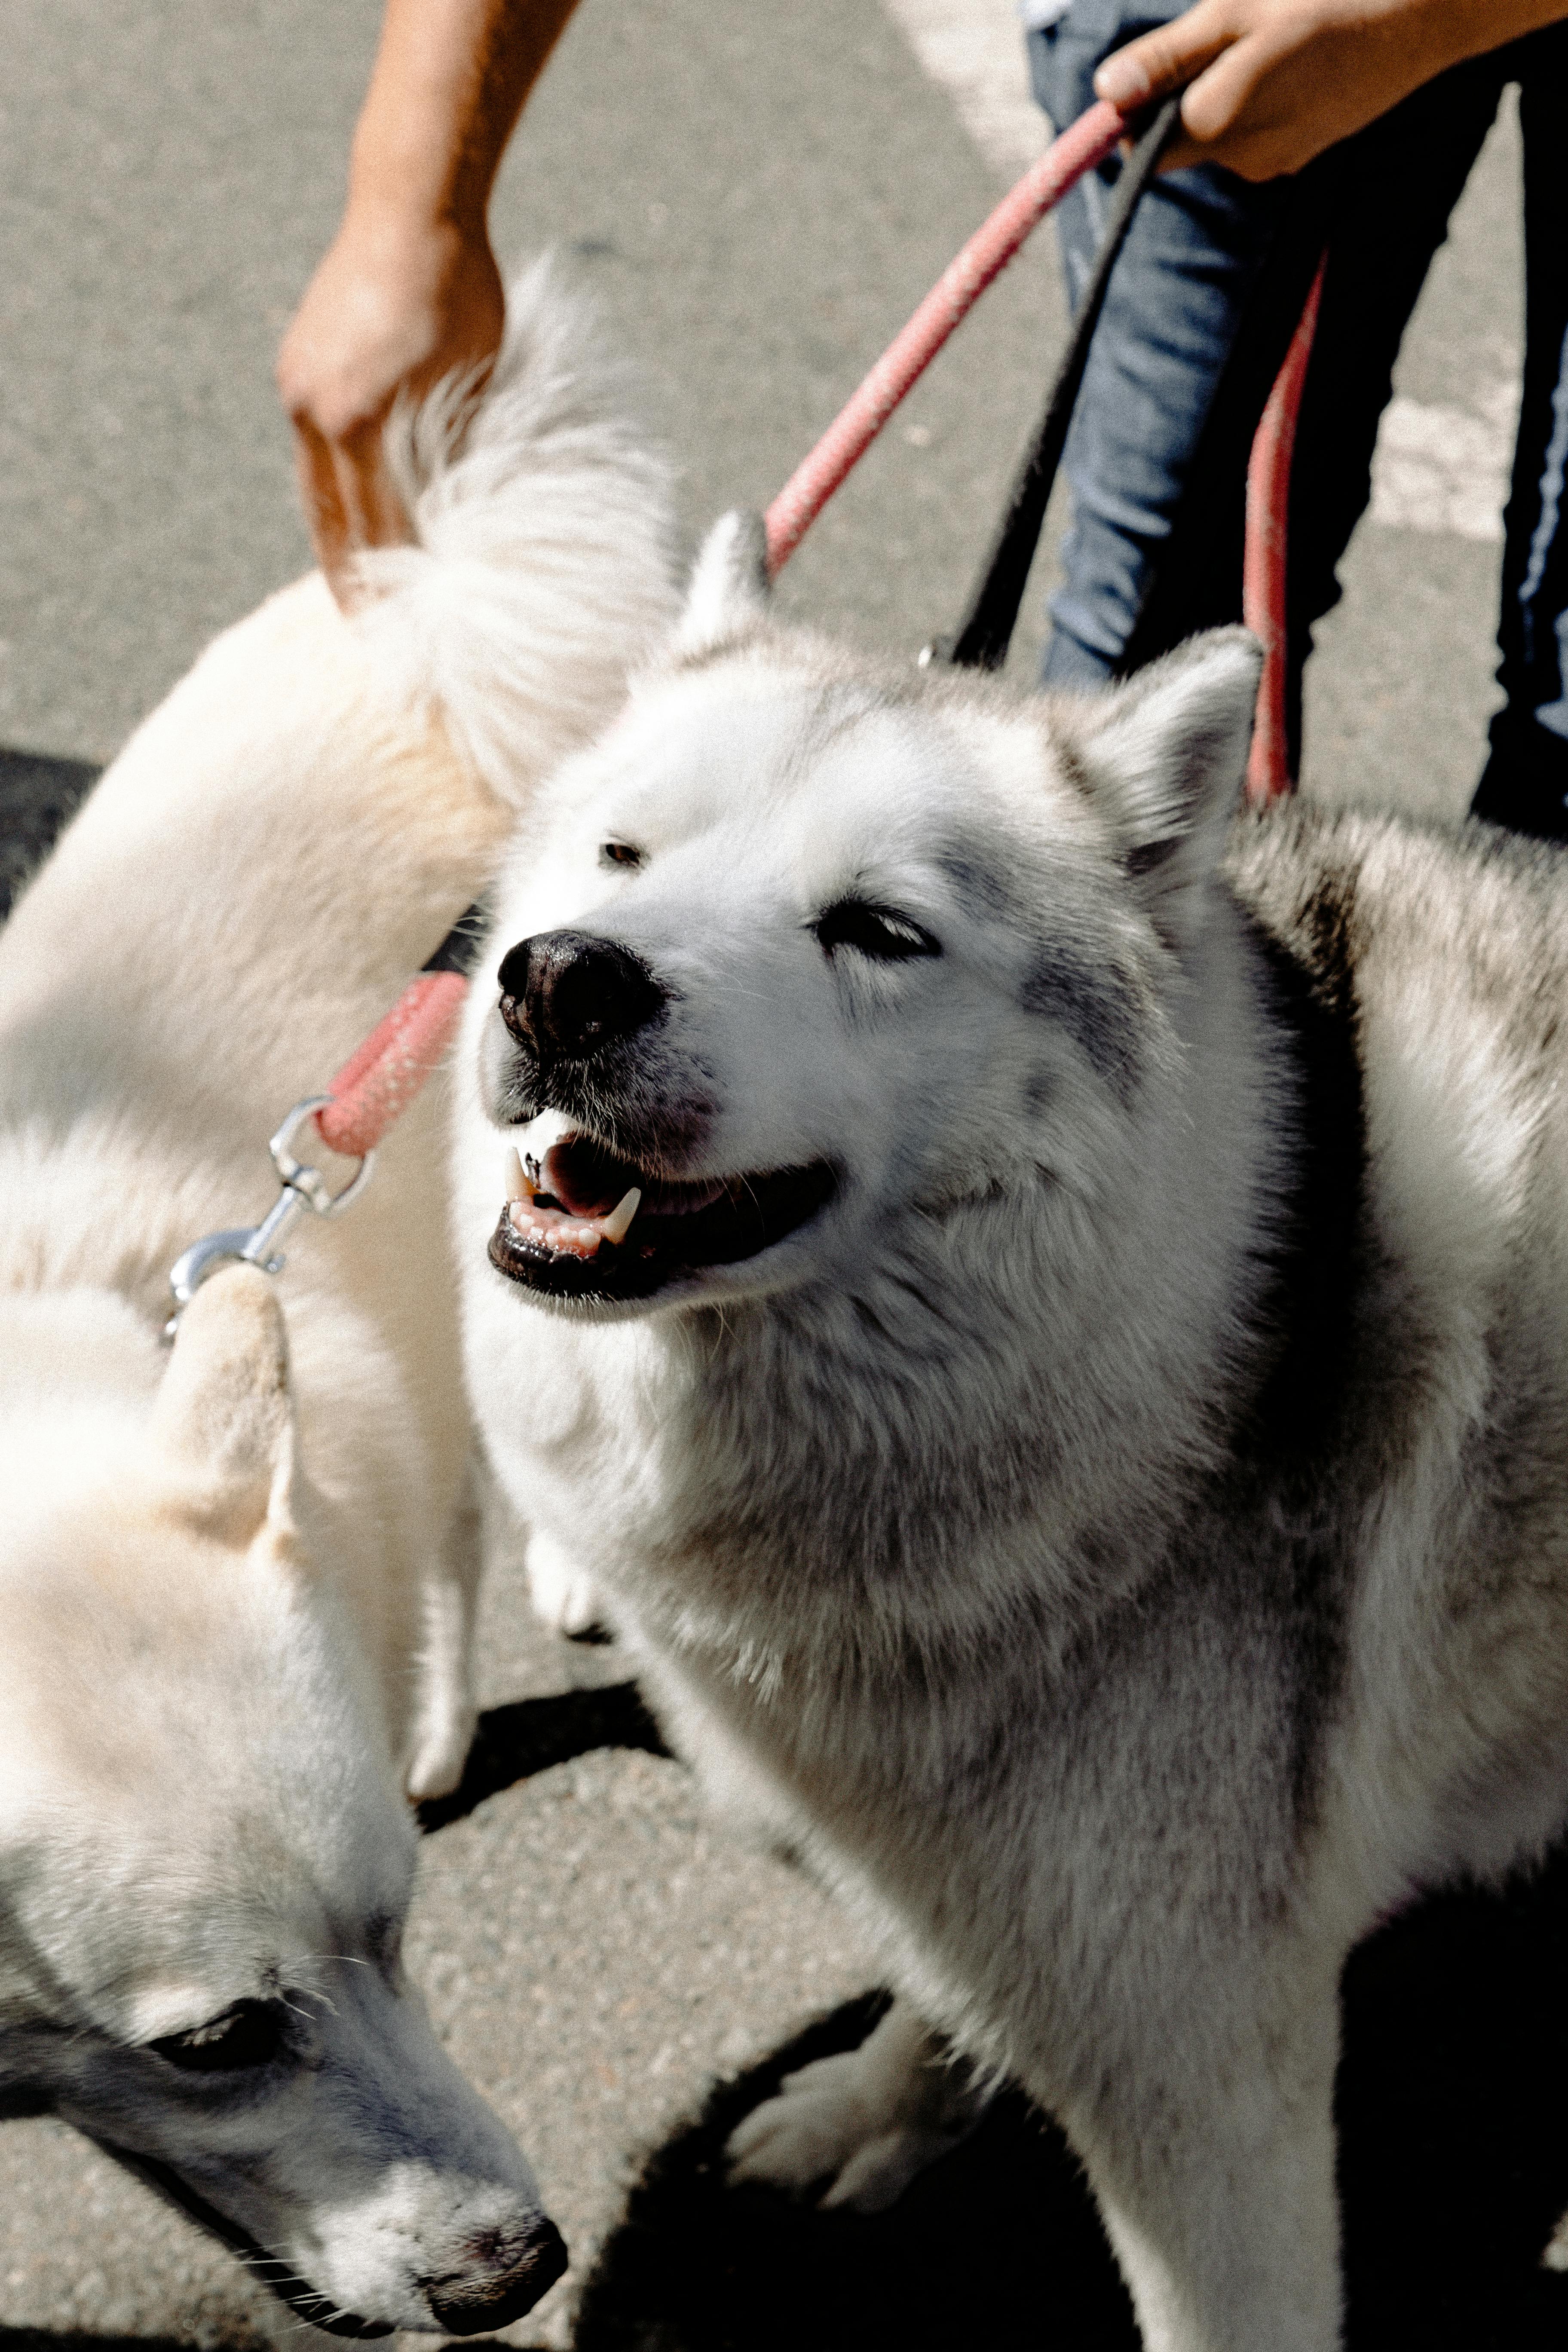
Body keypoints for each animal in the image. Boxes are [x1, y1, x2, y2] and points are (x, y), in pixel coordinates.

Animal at [456, 510, 1568, 2352]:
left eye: (875, 931)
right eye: (619, 854)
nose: (558, 984)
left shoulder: (1209, 2090)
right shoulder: (991, 1891)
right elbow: (937, 1993)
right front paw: (871, 2112)